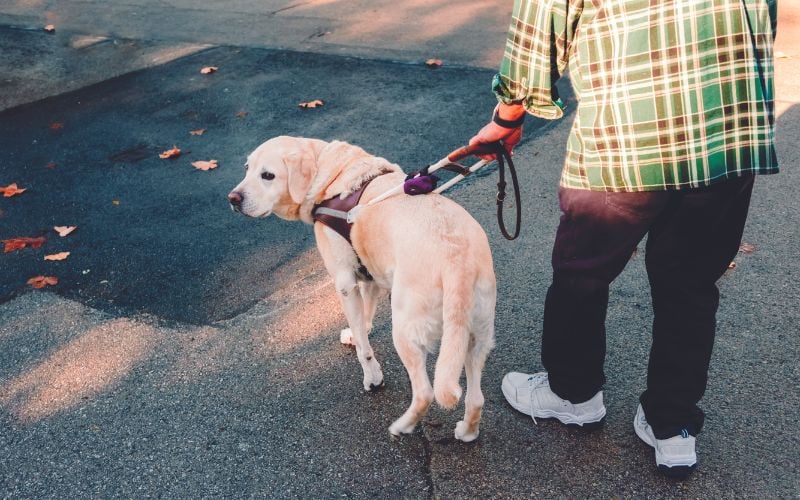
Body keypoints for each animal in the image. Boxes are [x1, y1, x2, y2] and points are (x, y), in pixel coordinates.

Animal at [227, 137, 494, 442]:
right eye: (247, 168)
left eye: (268, 175)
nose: (233, 198)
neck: (331, 174)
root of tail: (456, 262)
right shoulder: (369, 276)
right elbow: (364, 317)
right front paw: (358, 333)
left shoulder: (344, 282)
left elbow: (364, 348)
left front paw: (372, 377)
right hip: (475, 337)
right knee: (476, 398)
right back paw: (467, 431)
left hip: (406, 332)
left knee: (425, 393)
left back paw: (402, 427)